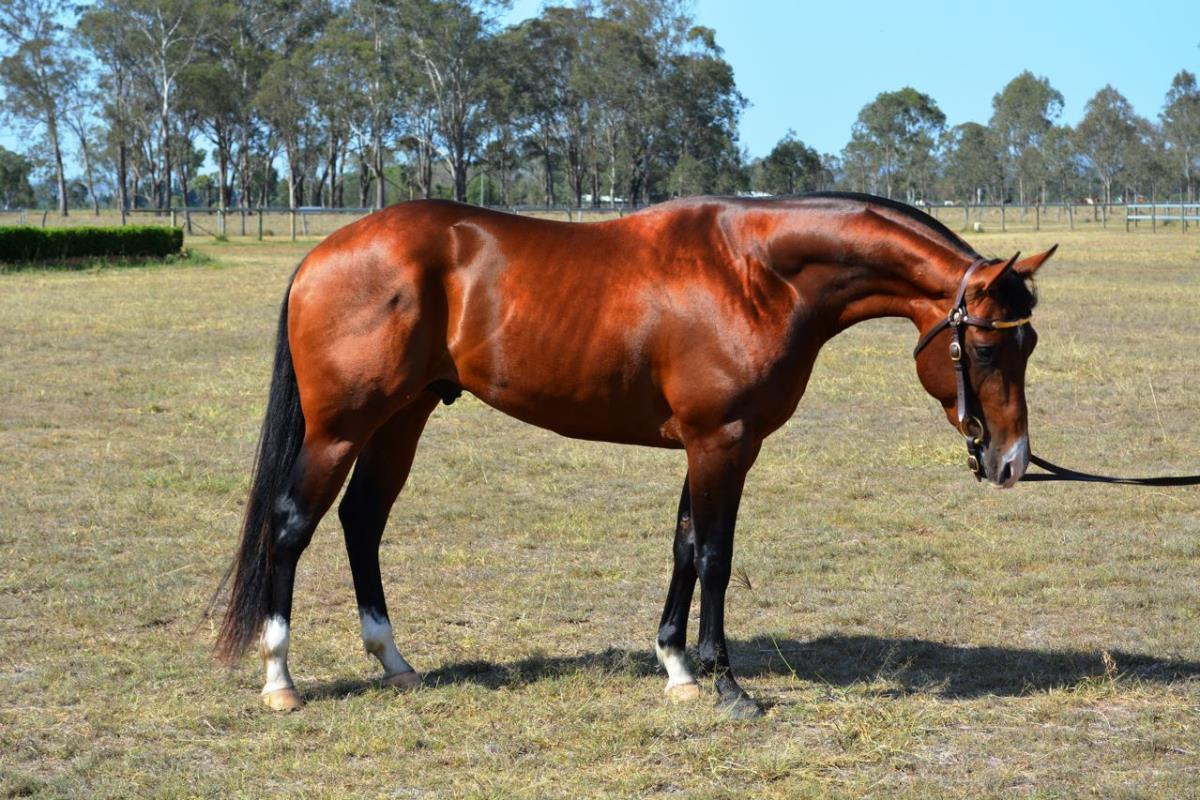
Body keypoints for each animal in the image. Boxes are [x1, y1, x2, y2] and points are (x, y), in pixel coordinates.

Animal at [214, 192, 1055, 717]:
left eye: (1030, 343)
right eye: (984, 346)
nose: (1012, 461)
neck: (756, 275)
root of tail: (324, 254)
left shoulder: (705, 444)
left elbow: (683, 546)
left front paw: (677, 668)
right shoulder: (722, 442)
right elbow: (715, 554)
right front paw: (725, 684)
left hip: (403, 418)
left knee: (361, 521)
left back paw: (393, 662)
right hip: (341, 428)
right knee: (291, 527)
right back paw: (280, 679)